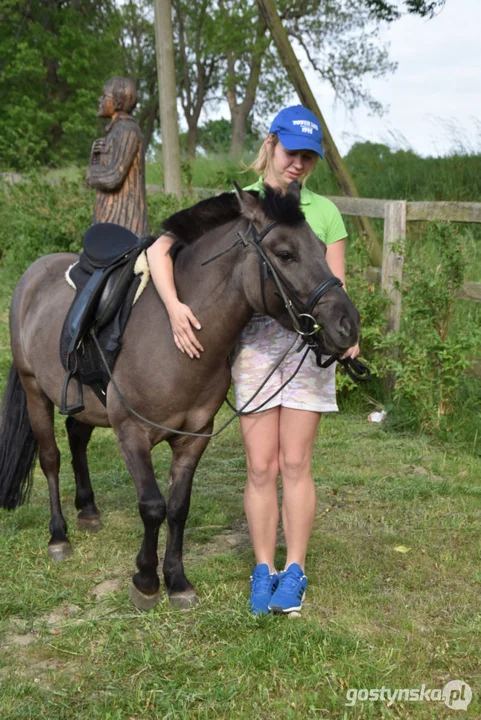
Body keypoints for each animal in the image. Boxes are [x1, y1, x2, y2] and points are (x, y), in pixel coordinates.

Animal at [0, 183, 360, 612]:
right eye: (286, 254)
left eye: (323, 249)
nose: (348, 325)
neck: (175, 340)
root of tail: (34, 273)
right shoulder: (131, 433)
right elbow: (152, 506)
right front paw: (145, 580)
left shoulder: (193, 438)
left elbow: (177, 507)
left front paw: (176, 580)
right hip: (35, 391)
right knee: (51, 459)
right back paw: (59, 535)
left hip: (84, 402)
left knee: (76, 436)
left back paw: (87, 510)